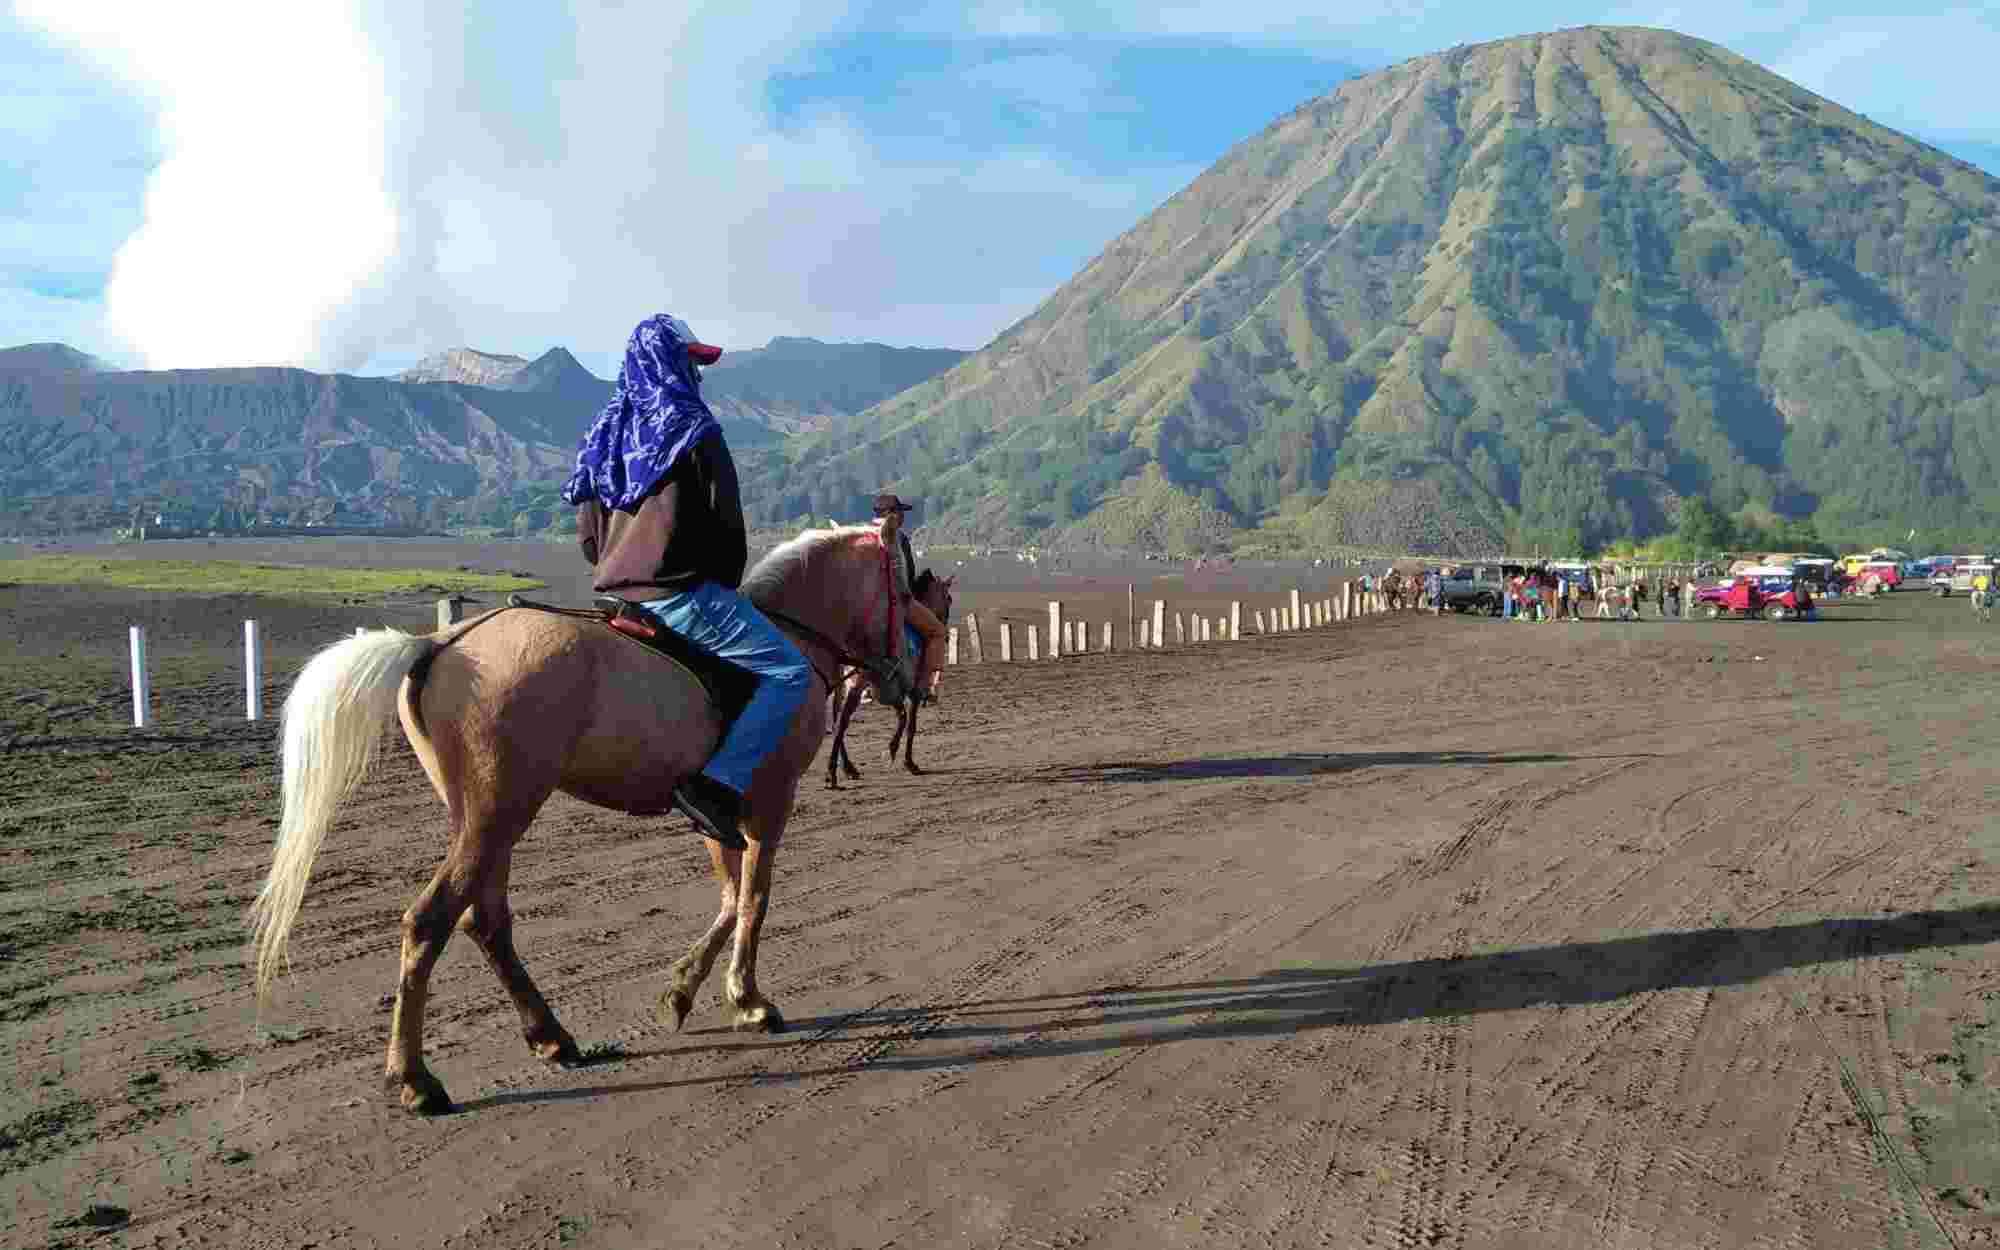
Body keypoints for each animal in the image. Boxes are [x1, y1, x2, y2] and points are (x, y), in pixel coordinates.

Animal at [246, 524, 904, 1112]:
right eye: (903, 581)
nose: (896, 679)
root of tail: (439, 645)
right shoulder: (771, 802)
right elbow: (754, 899)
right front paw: (748, 999)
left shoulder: (721, 813)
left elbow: (729, 896)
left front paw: (682, 992)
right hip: (499, 814)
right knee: (430, 921)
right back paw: (416, 1080)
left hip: (488, 819)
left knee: (485, 920)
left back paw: (550, 1036)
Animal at [824, 572, 956, 784]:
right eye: (949, 598)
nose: (945, 633)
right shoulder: (913, 690)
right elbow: (910, 723)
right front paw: (908, 762)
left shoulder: (893, 692)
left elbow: (902, 717)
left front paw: (893, 750)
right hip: (859, 680)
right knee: (843, 718)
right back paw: (832, 772)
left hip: (839, 681)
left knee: (836, 719)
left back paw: (848, 768)